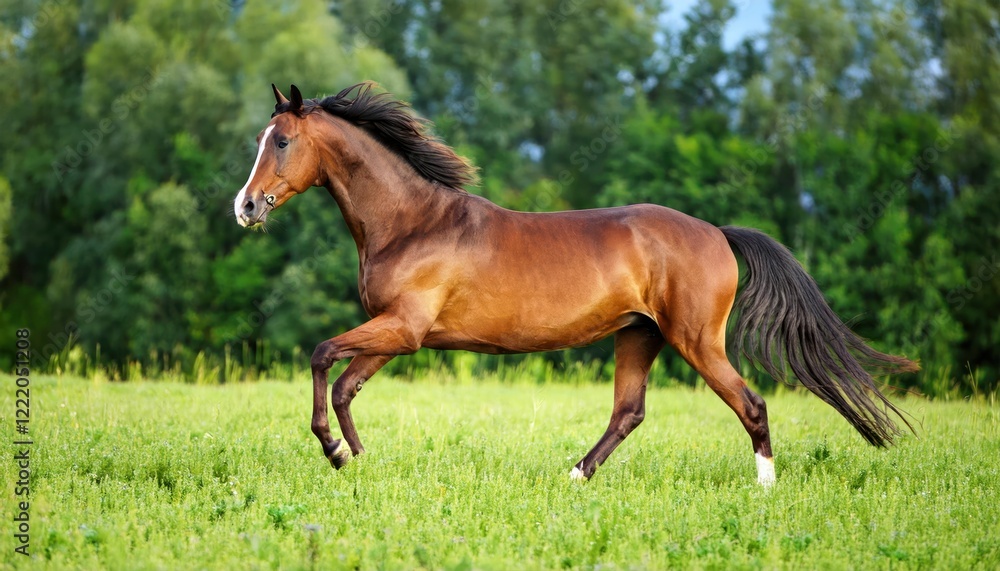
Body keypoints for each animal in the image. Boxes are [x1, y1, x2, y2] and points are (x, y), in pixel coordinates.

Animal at [232, 83, 917, 486]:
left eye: (282, 140)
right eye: (261, 138)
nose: (245, 207)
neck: (411, 224)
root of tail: (718, 234)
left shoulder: (402, 331)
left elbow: (322, 356)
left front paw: (334, 449)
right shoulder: (396, 334)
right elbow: (344, 384)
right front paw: (352, 455)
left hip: (697, 340)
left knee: (750, 404)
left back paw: (764, 490)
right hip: (639, 336)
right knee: (628, 412)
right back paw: (574, 476)